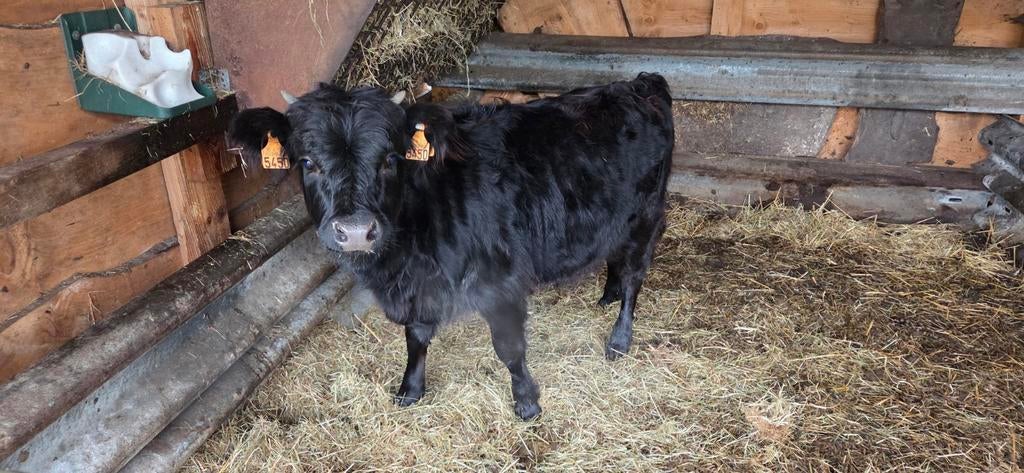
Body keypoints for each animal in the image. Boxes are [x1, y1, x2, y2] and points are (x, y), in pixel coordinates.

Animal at [227, 73, 674, 419]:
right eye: (308, 162)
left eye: (390, 159)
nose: (355, 231)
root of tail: (638, 84)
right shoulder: (417, 285)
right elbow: (416, 337)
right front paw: (410, 389)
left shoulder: (500, 280)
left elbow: (509, 348)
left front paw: (527, 402)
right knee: (616, 259)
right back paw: (606, 294)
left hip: (647, 217)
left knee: (635, 278)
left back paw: (619, 339)